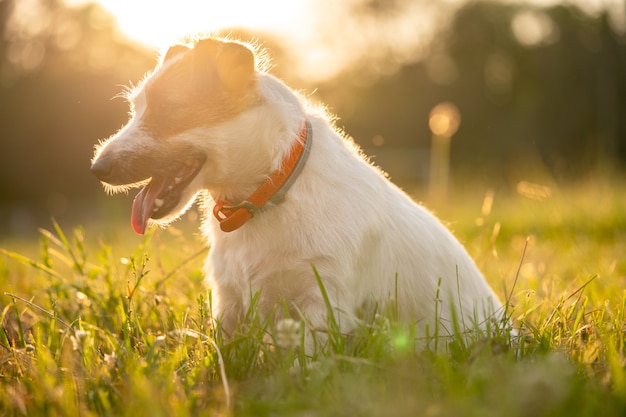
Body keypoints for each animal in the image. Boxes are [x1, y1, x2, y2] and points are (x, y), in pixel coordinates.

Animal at [90, 36, 504, 348]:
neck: (268, 194)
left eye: (170, 109)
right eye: (135, 108)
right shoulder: (230, 302)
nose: (97, 169)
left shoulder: (323, 302)